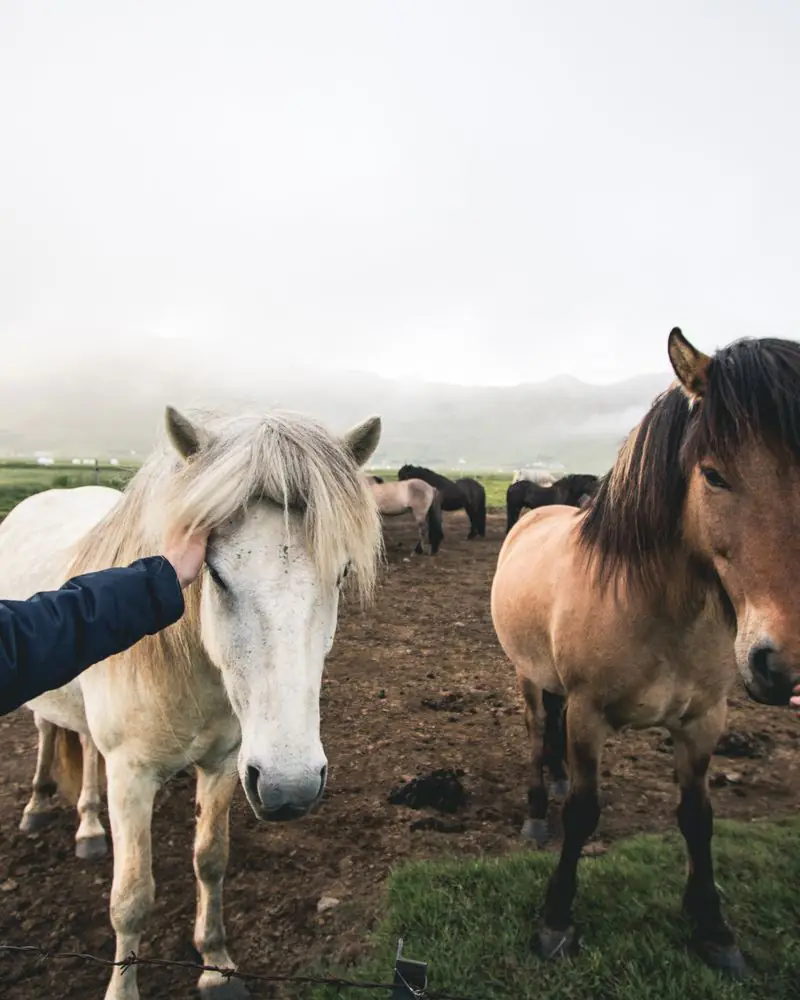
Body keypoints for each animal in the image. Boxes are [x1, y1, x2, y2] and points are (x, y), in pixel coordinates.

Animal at [0, 406, 384, 1000]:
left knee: (84, 746)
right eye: (217, 572)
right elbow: (131, 900)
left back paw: (88, 828)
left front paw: (216, 965)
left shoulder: (227, 764)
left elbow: (211, 861)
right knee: (48, 734)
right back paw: (41, 808)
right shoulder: (132, 776)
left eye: (340, 573)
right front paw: (123, 989)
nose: (291, 788)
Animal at [491, 327, 800, 978]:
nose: (784, 662)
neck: (657, 609)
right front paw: (556, 921)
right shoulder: (589, 717)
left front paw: (712, 926)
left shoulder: (704, 720)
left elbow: (698, 817)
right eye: (713, 475)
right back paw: (537, 810)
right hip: (528, 676)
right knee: (536, 735)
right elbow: (584, 815)